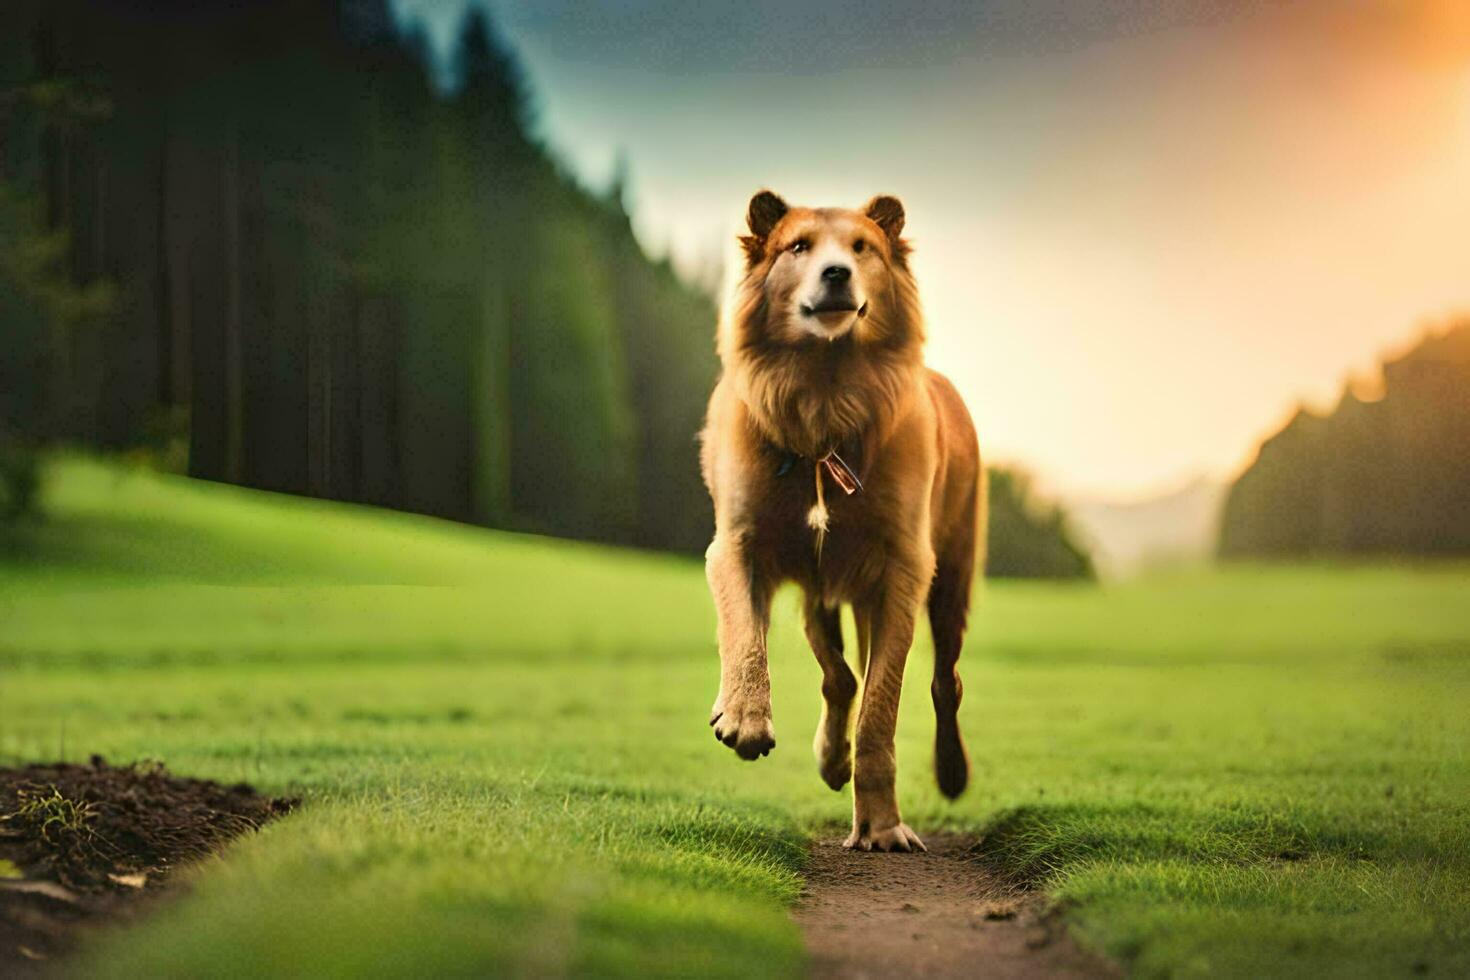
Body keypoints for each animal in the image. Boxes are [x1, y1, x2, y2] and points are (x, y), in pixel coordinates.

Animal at [696, 189, 981, 852]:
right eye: (798, 246)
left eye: (862, 248)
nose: (836, 274)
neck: (825, 393)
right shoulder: (739, 544)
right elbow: (745, 634)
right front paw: (744, 718)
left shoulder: (903, 570)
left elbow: (883, 704)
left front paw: (882, 824)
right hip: (820, 590)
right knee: (839, 676)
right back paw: (829, 758)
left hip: (950, 579)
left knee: (944, 682)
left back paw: (948, 772)